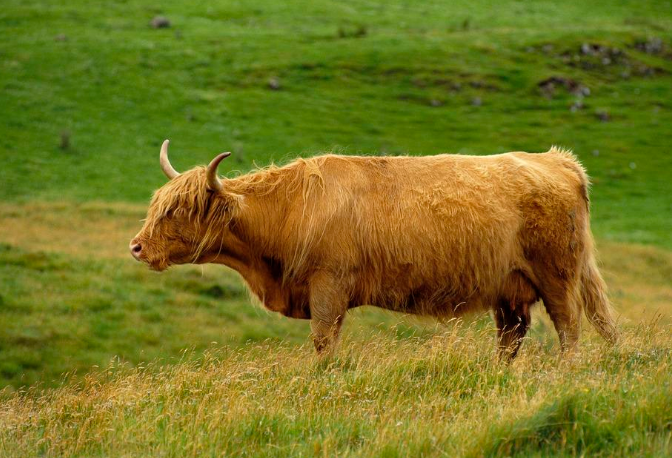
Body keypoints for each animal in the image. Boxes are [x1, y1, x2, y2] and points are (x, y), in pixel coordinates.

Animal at [131, 140, 620, 358]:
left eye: (178, 209)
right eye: (157, 204)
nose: (137, 247)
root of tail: (557, 159)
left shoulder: (328, 286)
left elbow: (323, 342)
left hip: (557, 277)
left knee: (569, 329)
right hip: (509, 290)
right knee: (511, 338)